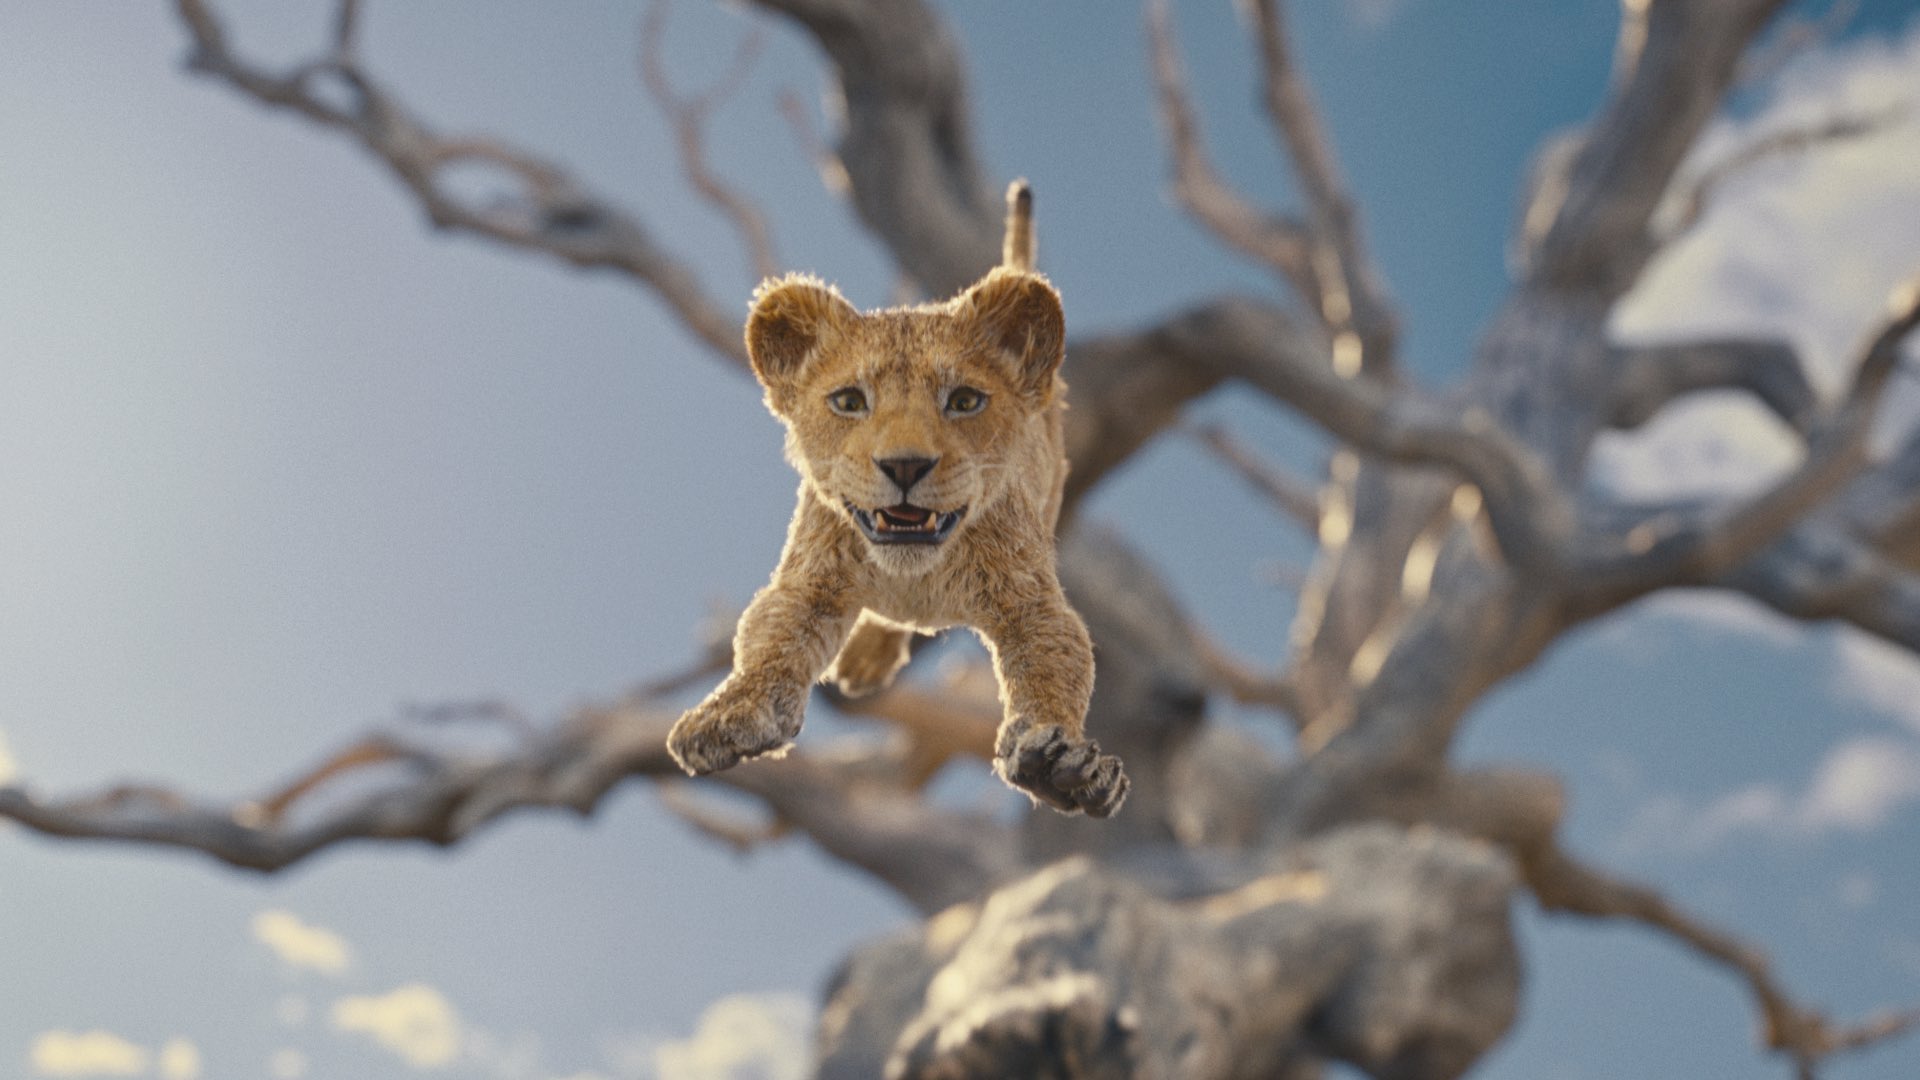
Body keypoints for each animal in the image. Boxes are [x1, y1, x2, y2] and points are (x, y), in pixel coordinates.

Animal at [665, 183, 1128, 817]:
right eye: (849, 401)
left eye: (964, 401)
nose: (905, 465)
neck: (915, 574)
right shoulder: (809, 581)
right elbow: (769, 641)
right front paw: (728, 714)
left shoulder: (1030, 601)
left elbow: (1056, 664)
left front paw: (1058, 764)